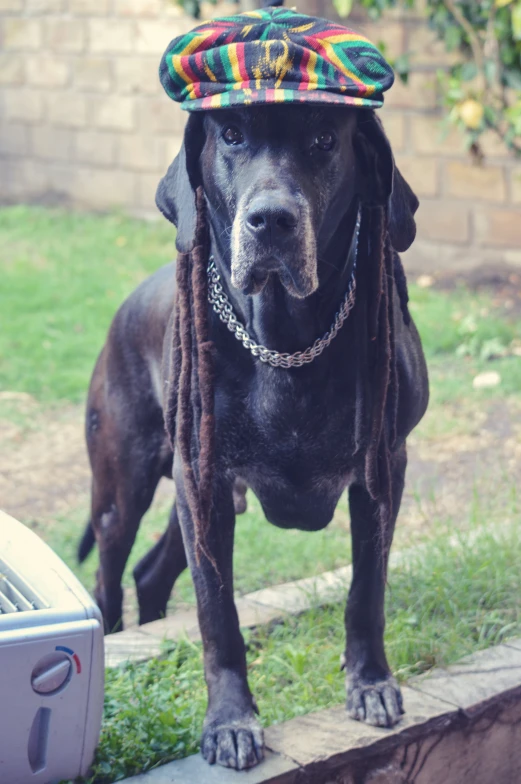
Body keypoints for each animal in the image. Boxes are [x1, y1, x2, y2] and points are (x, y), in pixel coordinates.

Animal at [82, 104, 426, 772]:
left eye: (324, 139)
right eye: (233, 136)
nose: (271, 220)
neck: (288, 336)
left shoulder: (383, 470)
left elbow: (367, 588)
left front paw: (371, 682)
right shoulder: (206, 482)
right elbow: (217, 613)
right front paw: (229, 722)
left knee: (150, 573)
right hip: (126, 489)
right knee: (110, 576)